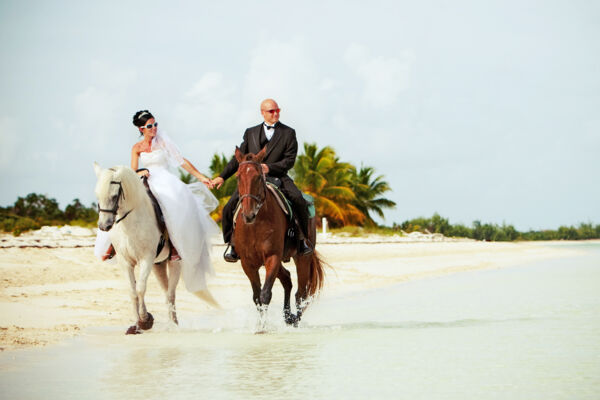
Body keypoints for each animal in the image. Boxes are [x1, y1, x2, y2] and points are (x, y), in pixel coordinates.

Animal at [94, 162, 180, 334]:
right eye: (97, 195)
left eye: (114, 195)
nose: (104, 226)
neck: (130, 224)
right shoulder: (125, 262)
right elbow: (132, 291)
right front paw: (137, 325)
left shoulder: (146, 259)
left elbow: (140, 288)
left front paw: (145, 320)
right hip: (158, 264)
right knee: (166, 292)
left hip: (175, 263)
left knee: (171, 293)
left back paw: (174, 324)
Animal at [234, 147, 326, 324]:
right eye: (238, 177)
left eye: (258, 177)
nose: (248, 215)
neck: (256, 224)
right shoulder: (248, 263)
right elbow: (257, 297)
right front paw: (260, 325)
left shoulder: (273, 257)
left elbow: (265, 294)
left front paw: (264, 326)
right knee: (287, 280)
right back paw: (288, 315)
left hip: (302, 258)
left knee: (301, 293)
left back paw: (295, 320)